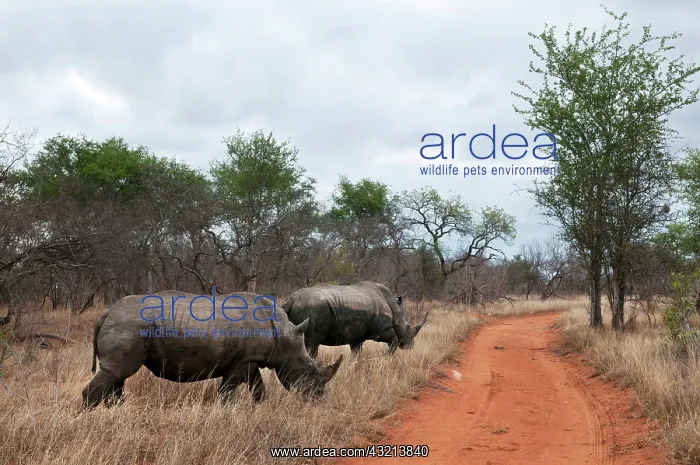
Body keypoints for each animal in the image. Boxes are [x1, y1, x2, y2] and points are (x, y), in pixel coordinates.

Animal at [82, 290, 343, 409]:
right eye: (309, 371)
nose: (319, 398)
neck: (285, 337)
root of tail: (107, 312)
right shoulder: (242, 362)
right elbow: (227, 391)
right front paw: (225, 412)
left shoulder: (250, 359)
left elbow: (258, 388)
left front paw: (259, 408)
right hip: (129, 326)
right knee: (117, 372)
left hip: (127, 325)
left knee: (117, 376)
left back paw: (117, 413)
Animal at [282, 281, 429, 357]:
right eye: (408, 327)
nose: (410, 346)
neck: (395, 308)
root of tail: (291, 300)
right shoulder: (382, 329)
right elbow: (394, 342)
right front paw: (387, 358)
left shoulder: (356, 335)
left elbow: (356, 352)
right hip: (313, 309)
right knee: (312, 344)